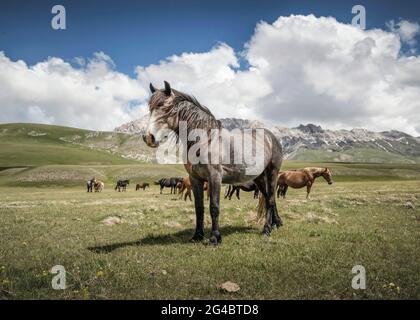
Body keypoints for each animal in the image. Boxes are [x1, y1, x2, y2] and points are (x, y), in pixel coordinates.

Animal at [143, 81, 284, 244]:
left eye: (164, 106)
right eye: (150, 107)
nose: (148, 137)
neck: (206, 140)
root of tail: (271, 137)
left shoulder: (215, 176)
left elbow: (214, 207)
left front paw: (215, 237)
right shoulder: (195, 179)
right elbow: (199, 208)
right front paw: (197, 236)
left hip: (272, 172)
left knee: (271, 200)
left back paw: (266, 229)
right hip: (259, 177)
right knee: (268, 198)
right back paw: (275, 223)